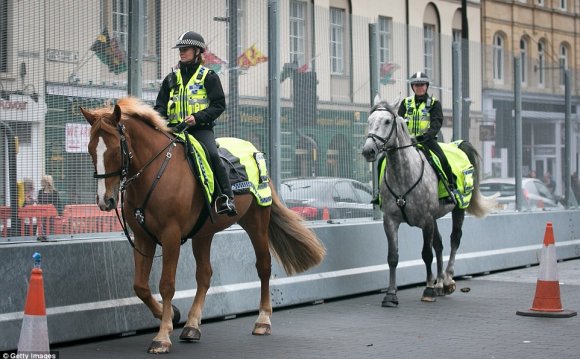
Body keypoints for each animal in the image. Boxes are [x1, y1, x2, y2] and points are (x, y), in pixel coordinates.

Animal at [80, 97, 326, 354]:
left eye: (115, 150)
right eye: (90, 149)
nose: (105, 200)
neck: (156, 173)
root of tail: (254, 150)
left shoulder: (170, 236)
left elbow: (166, 285)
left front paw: (162, 336)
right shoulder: (143, 237)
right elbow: (140, 286)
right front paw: (171, 315)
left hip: (256, 223)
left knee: (264, 266)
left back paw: (263, 320)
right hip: (203, 234)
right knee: (205, 275)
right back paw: (192, 325)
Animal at [362, 95, 494, 306]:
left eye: (387, 121)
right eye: (369, 121)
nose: (368, 151)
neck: (403, 174)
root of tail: (458, 145)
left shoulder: (426, 220)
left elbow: (426, 254)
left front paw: (429, 289)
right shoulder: (390, 221)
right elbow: (393, 257)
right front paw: (391, 294)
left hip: (457, 209)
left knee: (454, 240)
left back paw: (447, 280)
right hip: (435, 218)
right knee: (439, 244)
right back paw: (439, 284)